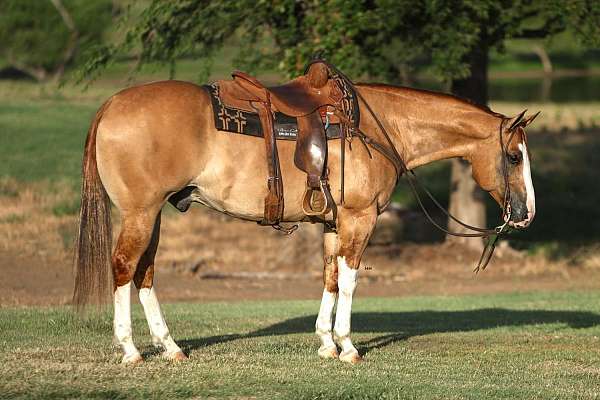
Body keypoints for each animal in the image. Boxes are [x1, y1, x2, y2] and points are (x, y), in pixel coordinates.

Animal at [72, 61, 536, 362]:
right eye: (514, 157)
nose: (527, 214)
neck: (378, 125)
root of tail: (111, 104)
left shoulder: (334, 223)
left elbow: (330, 278)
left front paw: (326, 342)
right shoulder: (359, 218)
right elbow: (350, 280)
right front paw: (348, 346)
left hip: (153, 216)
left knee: (145, 273)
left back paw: (169, 347)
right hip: (141, 212)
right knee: (123, 267)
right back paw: (130, 349)